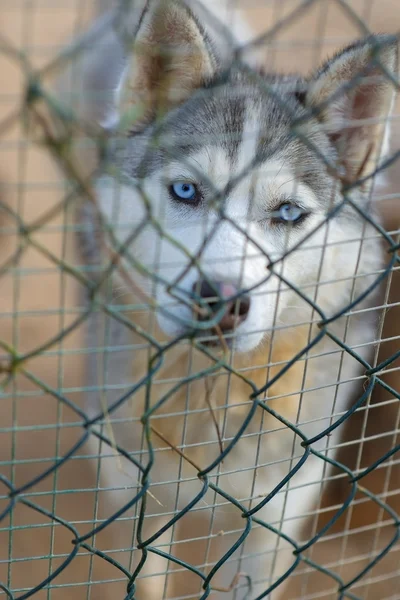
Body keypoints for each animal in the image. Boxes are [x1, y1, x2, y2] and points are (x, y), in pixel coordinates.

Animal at [61, 0, 398, 596]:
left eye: (287, 213)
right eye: (186, 191)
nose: (218, 300)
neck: (216, 392)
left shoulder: (277, 516)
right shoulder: (137, 497)